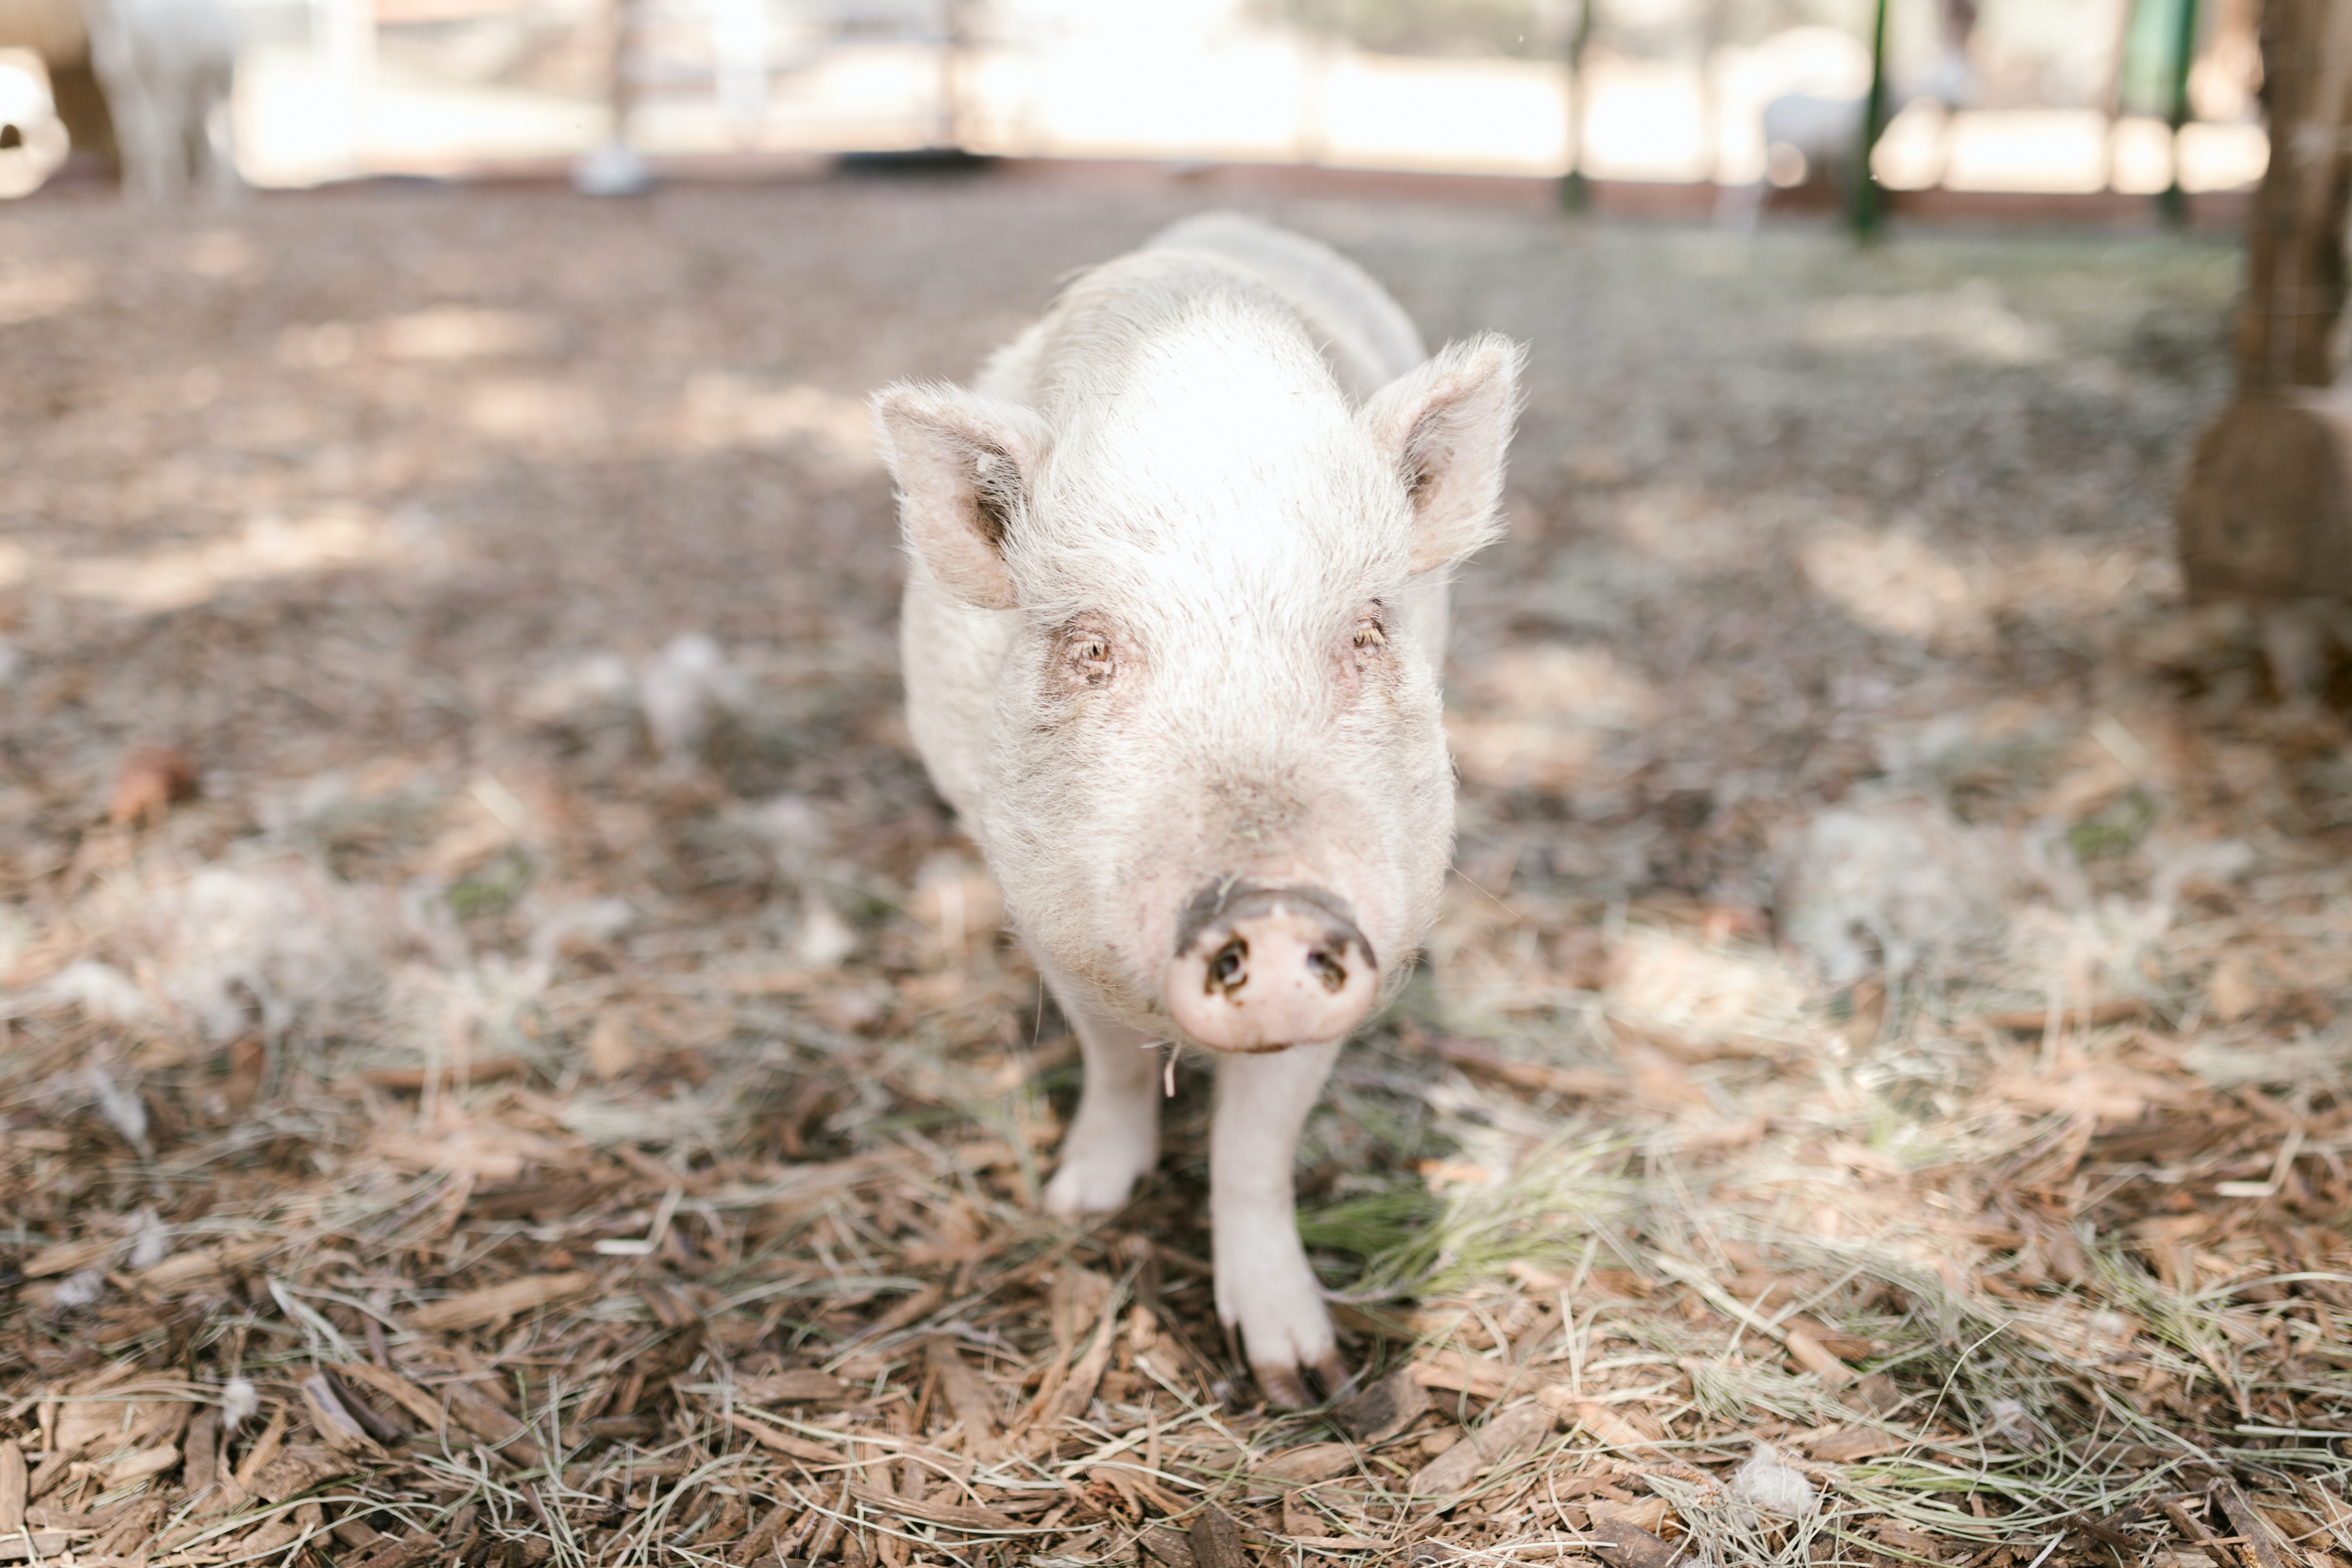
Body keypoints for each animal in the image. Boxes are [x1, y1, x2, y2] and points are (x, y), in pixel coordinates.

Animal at [870, 212, 1524, 1410]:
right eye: (1090, 647)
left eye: (1366, 632)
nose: (1271, 908)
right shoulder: (1043, 908)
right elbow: (1113, 1061)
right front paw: (1080, 1203)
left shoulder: (1382, 924)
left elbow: (1257, 1143)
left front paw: (1304, 1380)